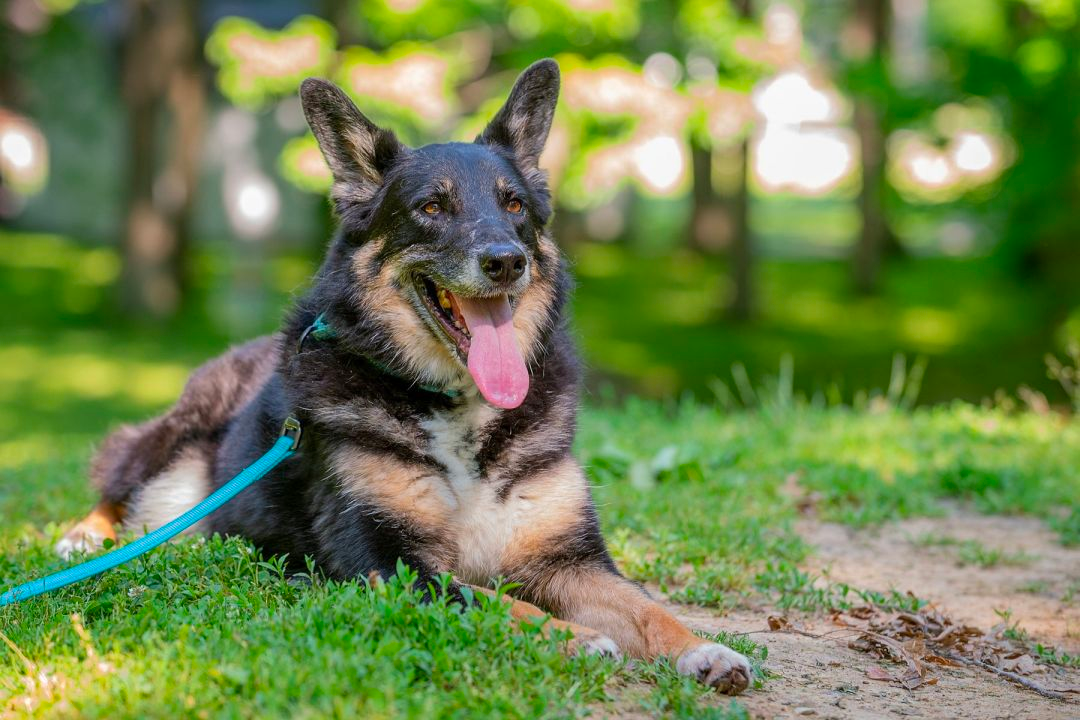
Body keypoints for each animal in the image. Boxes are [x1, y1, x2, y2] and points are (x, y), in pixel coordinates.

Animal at [56, 60, 751, 690]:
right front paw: (573, 638)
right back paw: (79, 539)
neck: (456, 406)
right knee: (119, 482)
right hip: (172, 434)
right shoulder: (387, 565)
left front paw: (703, 650)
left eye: (515, 205)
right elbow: (494, 601)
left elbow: (645, 607)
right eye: (432, 207)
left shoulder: (569, 560)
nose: (508, 261)